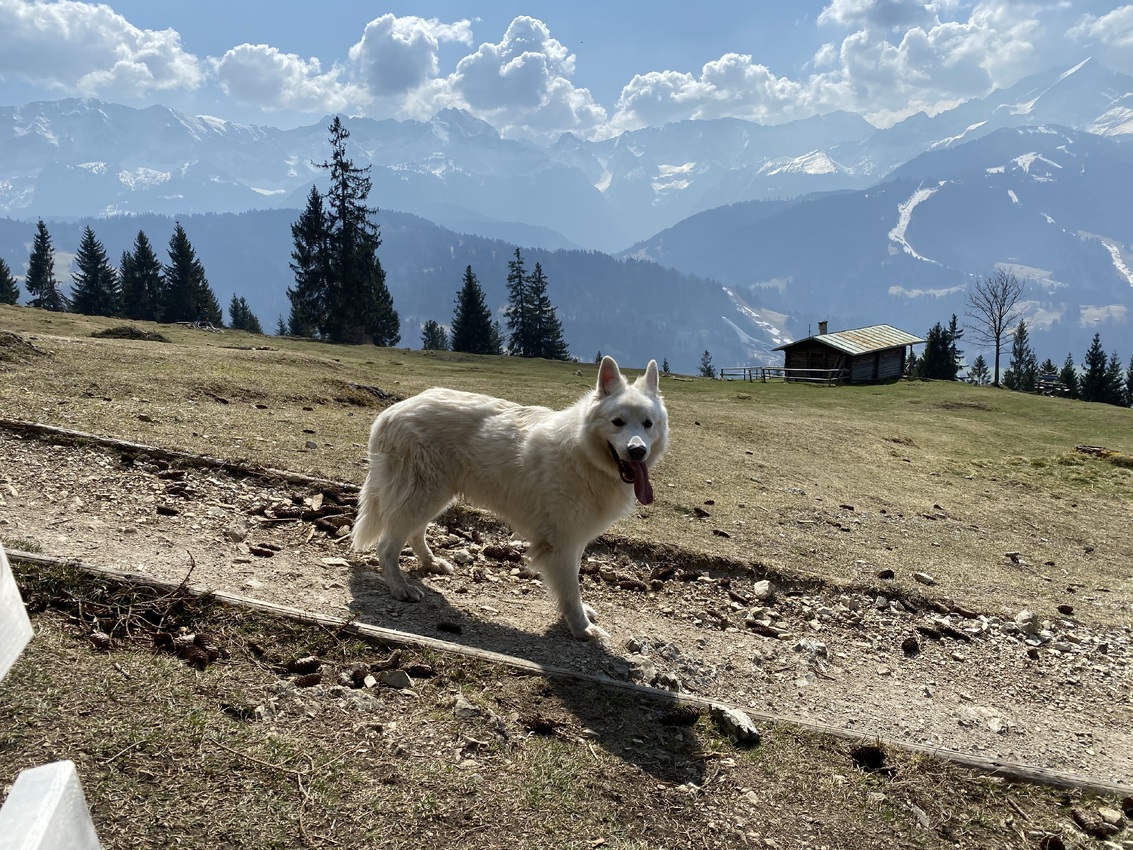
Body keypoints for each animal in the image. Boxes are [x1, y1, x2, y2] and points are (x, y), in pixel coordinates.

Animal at [353, 355, 666, 643]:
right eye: (617, 422)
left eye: (648, 424)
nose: (638, 451)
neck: (583, 454)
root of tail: (391, 412)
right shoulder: (562, 542)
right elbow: (570, 589)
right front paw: (582, 628)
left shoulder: (574, 539)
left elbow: (572, 585)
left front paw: (579, 616)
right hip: (422, 495)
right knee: (387, 547)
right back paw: (400, 588)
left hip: (434, 496)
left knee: (414, 533)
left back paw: (431, 563)